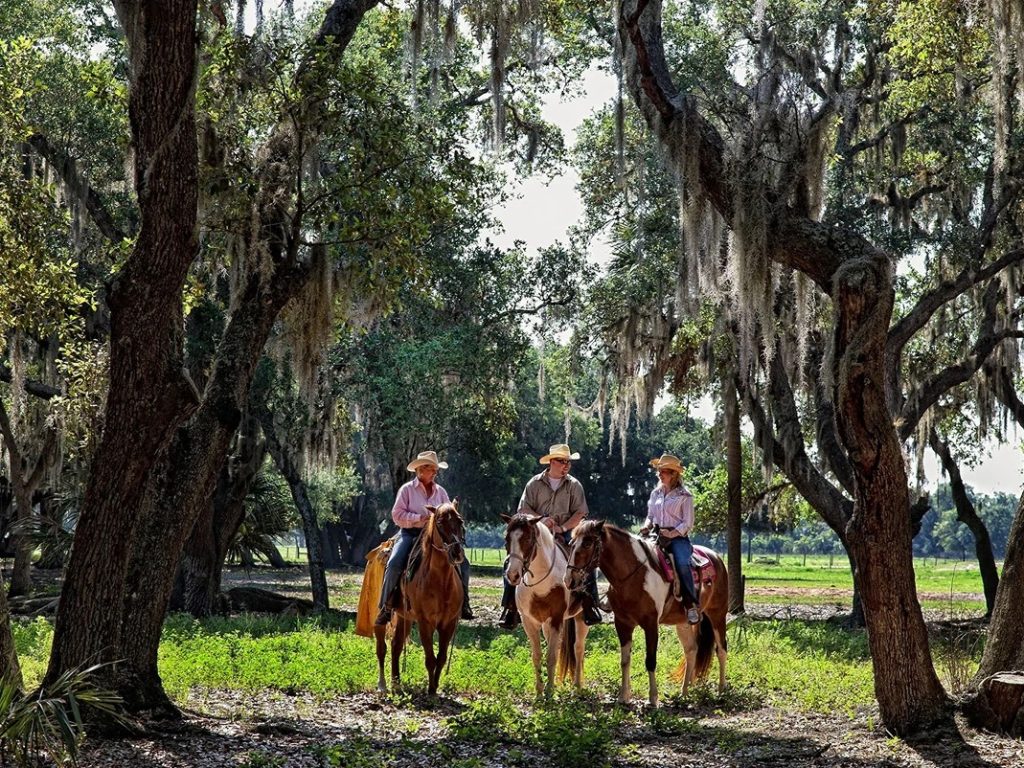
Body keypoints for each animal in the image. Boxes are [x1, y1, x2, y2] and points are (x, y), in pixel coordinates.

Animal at [376, 501, 468, 696]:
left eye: (460, 521)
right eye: (440, 522)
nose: (457, 553)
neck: (441, 581)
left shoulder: (448, 623)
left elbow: (441, 658)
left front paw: (434, 687)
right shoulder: (425, 622)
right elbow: (430, 658)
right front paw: (430, 690)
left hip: (404, 616)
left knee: (396, 645)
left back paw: (396, 684)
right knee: (382, 647)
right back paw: (383, 685)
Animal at [501, 512, 589, 696]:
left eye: (528, 538)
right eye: (507, 538)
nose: (512, 575)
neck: (541, 583)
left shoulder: (556, 620)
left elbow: (551, 656)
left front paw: (549, 692)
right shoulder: (529, 621)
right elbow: (537, 655)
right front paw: (540, 691)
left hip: (580, 618)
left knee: (578, 648)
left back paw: (577, 686)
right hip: (546, 625)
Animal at [565, 520, 724, 708]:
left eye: (588, 543)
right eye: (571, 544)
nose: (569, 580)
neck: (634, 575)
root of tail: (715, 556)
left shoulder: (650, 624)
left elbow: (650, 661)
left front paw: (653, 699)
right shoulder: (622, 623)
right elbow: (625, 660)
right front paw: (624, 697)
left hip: (718, 614)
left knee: (721, 649)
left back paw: (722, 690)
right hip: (683, 622)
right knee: (691, 650)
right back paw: (684, 693)